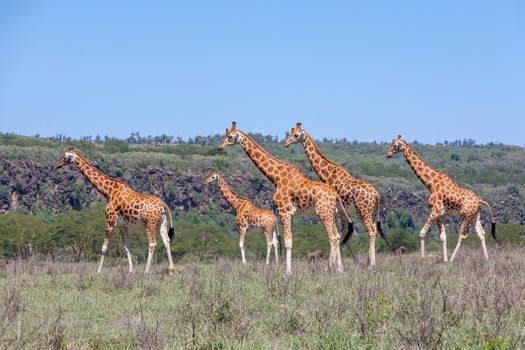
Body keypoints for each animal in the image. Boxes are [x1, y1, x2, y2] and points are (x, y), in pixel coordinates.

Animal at [217, 121, 348, 274]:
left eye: (230, 136)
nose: (219, 147)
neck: (276, 177)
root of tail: (335, 195)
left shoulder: (283, 210)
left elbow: (287, 242)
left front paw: (288, 271)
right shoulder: (289, 213)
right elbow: (287, 240)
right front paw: (287, 268)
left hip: (323, 212)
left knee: (332, 237)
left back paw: (330, 269)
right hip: (331, 213)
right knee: (337, 236)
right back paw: (339, 269)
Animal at [284, 123, 386, 266]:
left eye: (295, 135)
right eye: (289, 133)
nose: (286, 143)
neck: (328, 174)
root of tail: (377, 195)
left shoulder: (337, 212)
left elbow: (340, 235)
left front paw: (338, 263)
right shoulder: (340, 213)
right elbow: (343, 235)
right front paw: (351, 262)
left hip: (363, 211)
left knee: (370, 231)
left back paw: (371, 264)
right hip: (372, 212)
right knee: (374, 230)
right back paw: (368, 262)